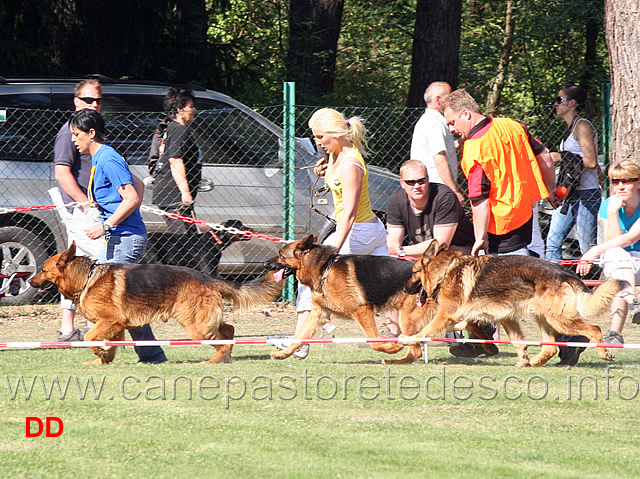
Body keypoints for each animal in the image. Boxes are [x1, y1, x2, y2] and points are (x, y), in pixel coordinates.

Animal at [30, 242, 280, 366]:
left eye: (42, 269)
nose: (30, 281)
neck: (87, 277)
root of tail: (209, 278)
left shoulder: (110, 321)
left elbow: (90, 337)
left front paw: (99, 354)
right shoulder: (117, 326)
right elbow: (110, 346)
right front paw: (103, 360)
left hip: (196, 326)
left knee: (223, 340)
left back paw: (215, 360)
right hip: (204, 321)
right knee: (229, 329)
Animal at [402, 242, 628, 370]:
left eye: (413, 273)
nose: (404, 289)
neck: (446, 271)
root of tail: (564, 273)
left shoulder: (445, 315)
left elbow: (426, 330)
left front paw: (408, 339)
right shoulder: (507, 319)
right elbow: (519, 342)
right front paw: (522, 361)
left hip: (559, 320)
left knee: (594, 329)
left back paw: (604, 353)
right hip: (544, 318)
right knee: (551, 346)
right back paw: (535, 362)